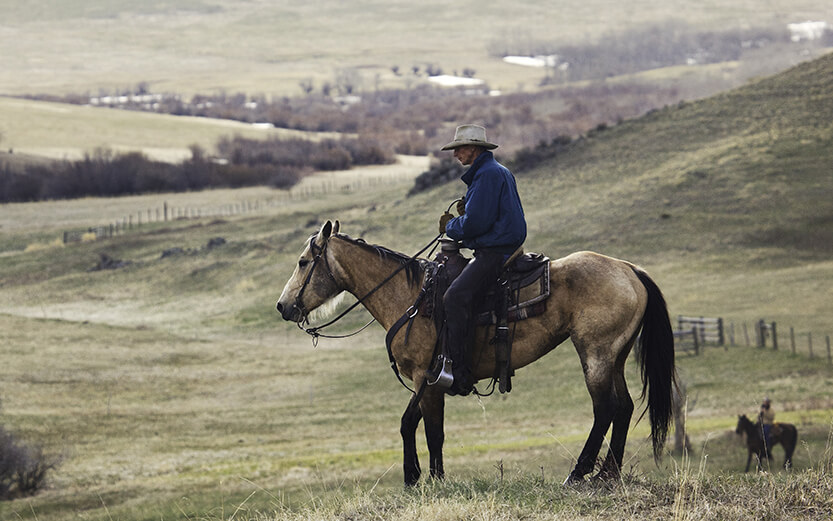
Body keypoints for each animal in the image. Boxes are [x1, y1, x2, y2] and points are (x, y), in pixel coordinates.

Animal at [276, 220, 677, 485]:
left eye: (302, 262)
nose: (283, 306)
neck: (411, 299)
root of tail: (629, 269)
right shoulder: (428, 382)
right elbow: (417, 426)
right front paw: (420, 478)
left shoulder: (427, 376)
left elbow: (425, 428)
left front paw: (429, 480)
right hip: (615, 356)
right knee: (624, 407)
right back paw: (608, 473)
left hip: (595, 355)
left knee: (605, 408)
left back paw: (578, 473)